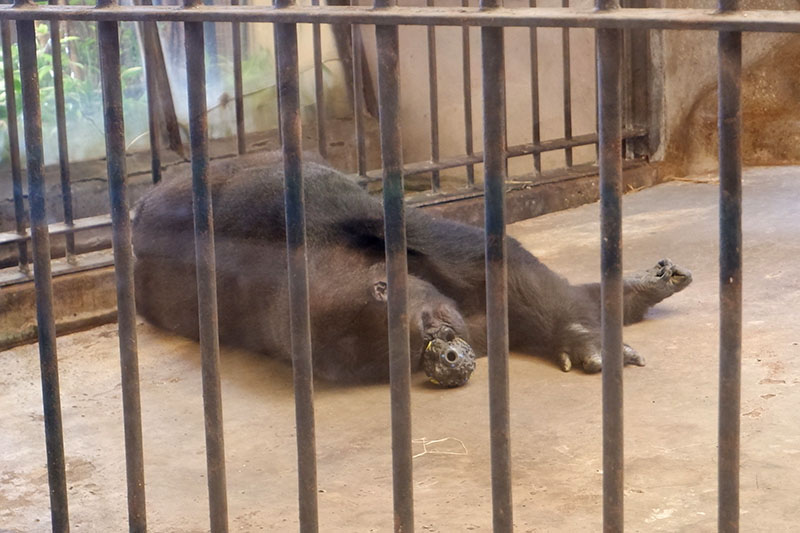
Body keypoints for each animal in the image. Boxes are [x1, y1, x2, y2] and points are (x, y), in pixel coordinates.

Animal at [130, 156, 688, 380]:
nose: (438, 347)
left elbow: (497, 264)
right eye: (394, 356)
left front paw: (584, 338)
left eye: (384, 292)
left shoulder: (326, 206)